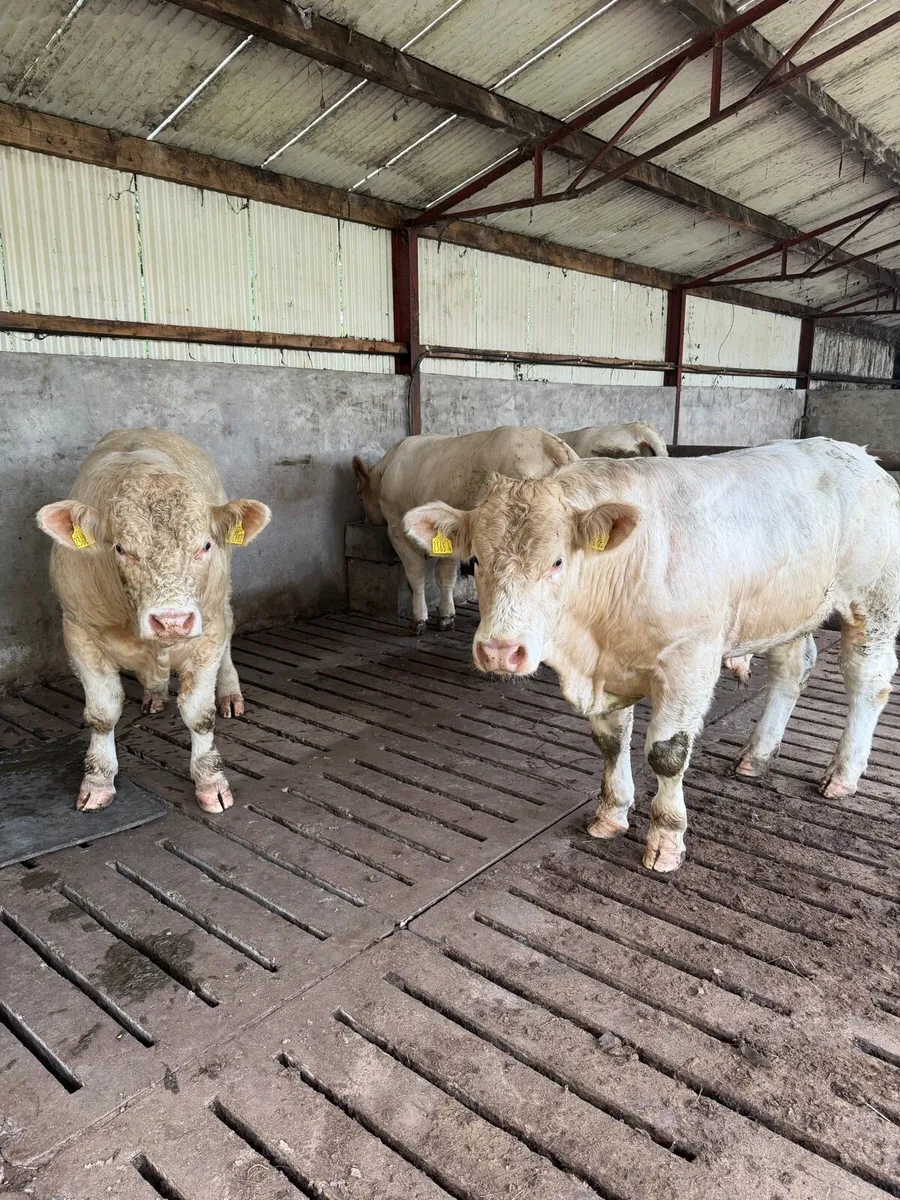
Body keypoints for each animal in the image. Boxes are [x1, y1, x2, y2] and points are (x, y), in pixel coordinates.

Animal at [37, 429, 271, 815]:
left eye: (205, 545)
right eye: (120, 548)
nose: (171, 620)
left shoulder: (207, 633)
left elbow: (199, 713)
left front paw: (211, 782)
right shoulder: (79, 633)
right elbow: (102, 713)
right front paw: (97, 781)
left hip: (221, 598)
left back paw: (229, 693)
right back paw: (155, 694)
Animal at [352, 427, 576, 634]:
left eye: (360, 495)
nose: (365, 520)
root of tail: (550, 443)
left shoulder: (397, 527)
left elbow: (415, 576)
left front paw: (418, 620)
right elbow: (445, 575)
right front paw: (446, 617)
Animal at [403, 438, 900, 872]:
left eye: (558, 561)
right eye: (476, 561)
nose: (500, 651)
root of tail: (856, 454)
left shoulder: (690, 658)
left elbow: (666, 753)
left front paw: (666, 838)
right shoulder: (606, 672)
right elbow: (610, 741)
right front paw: (611, 814)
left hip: (874, 601)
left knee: (867, 681)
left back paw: (843, 774)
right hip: (787, 610)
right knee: (792, 670)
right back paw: (757, 755)